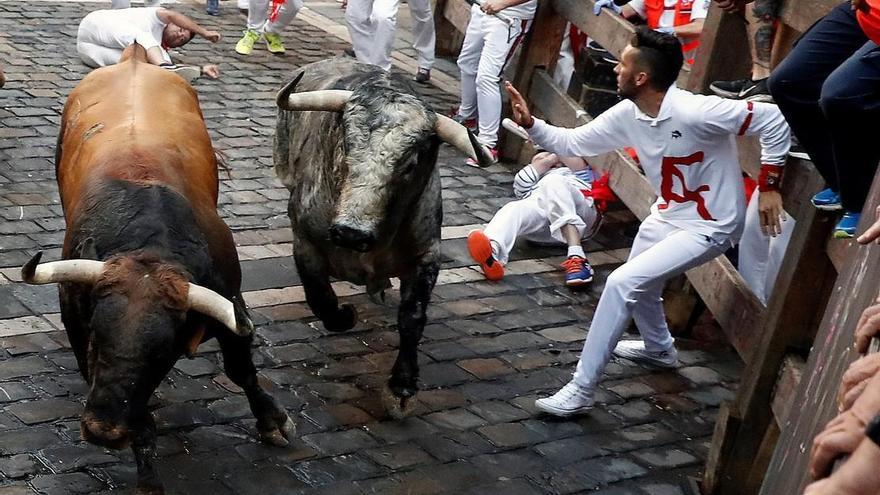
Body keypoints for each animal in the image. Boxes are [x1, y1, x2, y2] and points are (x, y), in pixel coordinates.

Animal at [20, 44, 294, 494]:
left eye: (163, 353)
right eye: (96, 336)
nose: (103, 431)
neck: (149, 245)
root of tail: (133, 58)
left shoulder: (230, 303)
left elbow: (241, 370)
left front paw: (272, 420)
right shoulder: (75, 321)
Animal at [274, 56, 492, 416]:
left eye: (411, 162)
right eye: (345, 144)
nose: (351, 232)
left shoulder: (426, 255)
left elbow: (412, 317)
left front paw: (402, 386)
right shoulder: (304, 241)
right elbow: (321, 298)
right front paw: (345, 315)